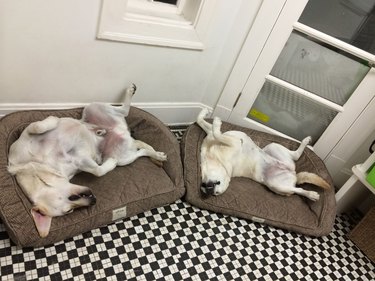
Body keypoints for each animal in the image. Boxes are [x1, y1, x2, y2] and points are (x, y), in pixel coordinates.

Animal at [7, 83, 167, 236]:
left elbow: (37, 126)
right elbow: (98, 170)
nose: (93, 201)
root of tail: (123, 132)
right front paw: (109, 163)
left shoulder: (23, 139)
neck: (41, 164)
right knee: (140, 149)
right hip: (124, 157)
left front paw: (53, 120)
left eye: (71, 200)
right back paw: (156, 154)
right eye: (69, 211)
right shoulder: (82, 163)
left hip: (92, 107)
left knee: (124, 111)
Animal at [198, 108, 330, 200]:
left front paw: (211, 117)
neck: (215, 159)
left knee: (296, 161)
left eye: (216, 192)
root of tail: (294, 174)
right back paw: (311, 194)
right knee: (297, 188)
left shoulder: (228, 140)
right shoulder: (223, 140)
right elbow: (210, 128)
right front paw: (211, 118)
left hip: (273, 147)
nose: (209, 190)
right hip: (276, 183)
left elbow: (210, 128)